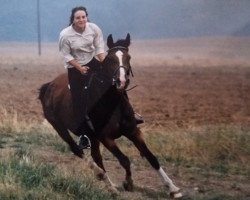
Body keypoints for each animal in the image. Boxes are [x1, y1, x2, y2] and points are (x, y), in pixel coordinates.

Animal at [38, 33, 182, 198]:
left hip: (92, 137)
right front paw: (128, 183)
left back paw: (110, 185)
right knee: (79, 151)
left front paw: (172, 188)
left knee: (97, 157)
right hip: (61, 128)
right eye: (111, 59)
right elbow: (125, 160)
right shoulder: (106, 138)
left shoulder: (133, 132)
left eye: (129, 57)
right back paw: (104, 179)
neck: (112, 103)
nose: (122, 81)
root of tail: (49, 86)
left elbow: (151, 157)